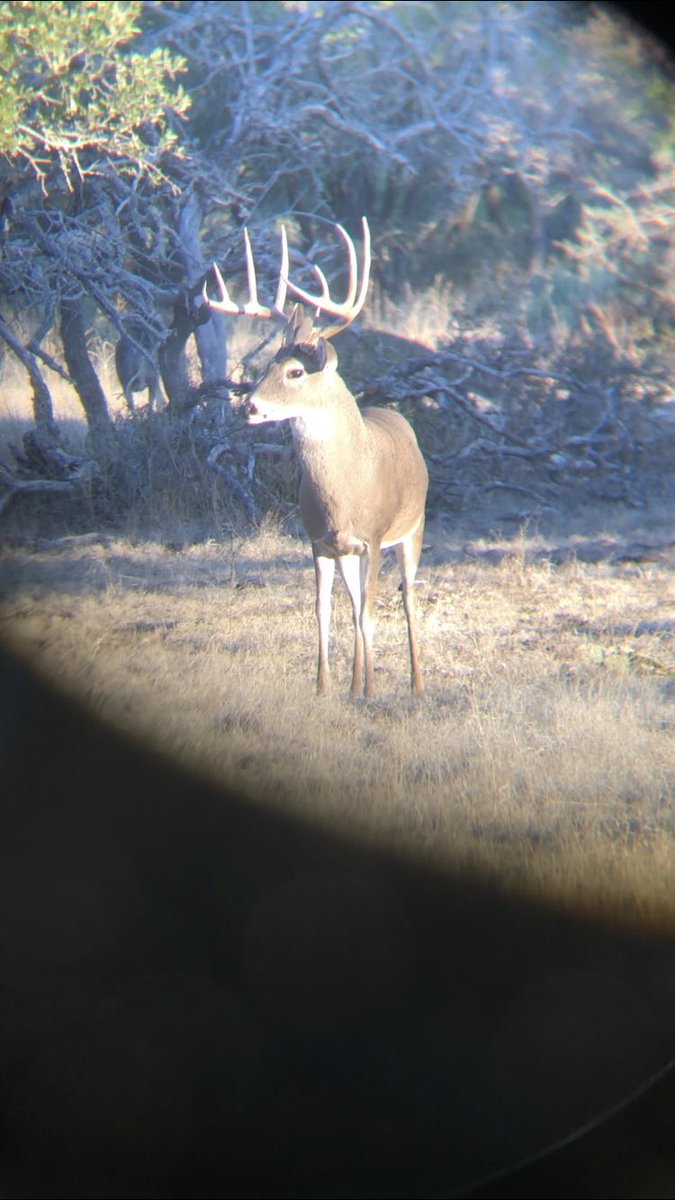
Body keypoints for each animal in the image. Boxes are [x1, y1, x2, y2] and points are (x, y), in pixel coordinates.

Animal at [206, 218, 428, 699]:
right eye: (266, 366)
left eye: (295, 371)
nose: (248, 406)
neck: (347, 486)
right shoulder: (318, 540)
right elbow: (324, 611)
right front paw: (325, 687)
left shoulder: (373, 537)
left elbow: (369, 613)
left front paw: (372, 692)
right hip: (346, 551)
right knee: (353, 603)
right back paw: (354, 683)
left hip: (413, 527)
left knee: (407, 598)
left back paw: (416, 684)